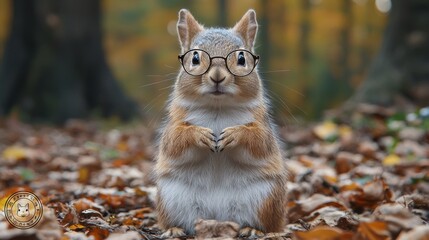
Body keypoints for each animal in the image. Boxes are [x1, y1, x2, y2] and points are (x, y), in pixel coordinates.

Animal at [155, 7, 288, 238]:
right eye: (195, 58)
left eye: (242, 58)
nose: (217, 76)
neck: (218, 107)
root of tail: (217, 216)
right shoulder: (174, 122)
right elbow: (173, 142)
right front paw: (199, 134)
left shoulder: (263, 126)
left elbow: (260, 142)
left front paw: (236, 134)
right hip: (170, 197)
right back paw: (174, 229)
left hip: (266, 197)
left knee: (267, 224)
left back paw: (253, 229)